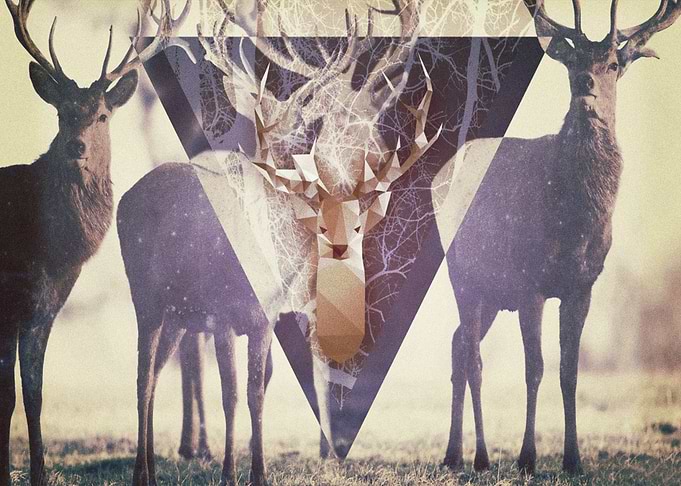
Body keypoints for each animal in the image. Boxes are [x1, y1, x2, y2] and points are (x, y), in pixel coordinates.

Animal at [0, 1, 189, 485]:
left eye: (102, 115)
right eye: (62, 113)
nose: (77, 146)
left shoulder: (45, 308)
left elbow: (34, 395)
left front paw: (39, 474)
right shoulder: (10, 304)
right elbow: (9, 397)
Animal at [441, 0, 681, 475]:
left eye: (613, 64)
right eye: (572, 63)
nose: (587, 82)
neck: (573, 227)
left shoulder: (582, 285)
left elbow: (569, 369)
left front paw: (574, 460)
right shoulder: (530, 283)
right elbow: (534, 368)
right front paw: (527, 458)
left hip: (491, 294)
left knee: (459, 345)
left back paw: (452, 455)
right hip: (462, 275)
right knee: (473, 358)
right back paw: (480, 457)